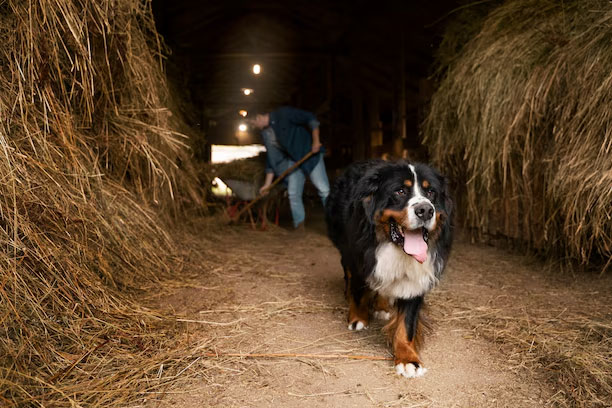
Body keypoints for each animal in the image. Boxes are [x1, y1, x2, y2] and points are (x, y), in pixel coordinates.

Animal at [326, 160, 454, 380]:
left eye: (431, 192)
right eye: (400, 191)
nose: (425, 210)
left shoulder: (416, 278)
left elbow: (407, 324)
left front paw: (408, 359)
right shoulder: (359, 255)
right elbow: (358, 288)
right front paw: (358, 319)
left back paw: (382, 306)